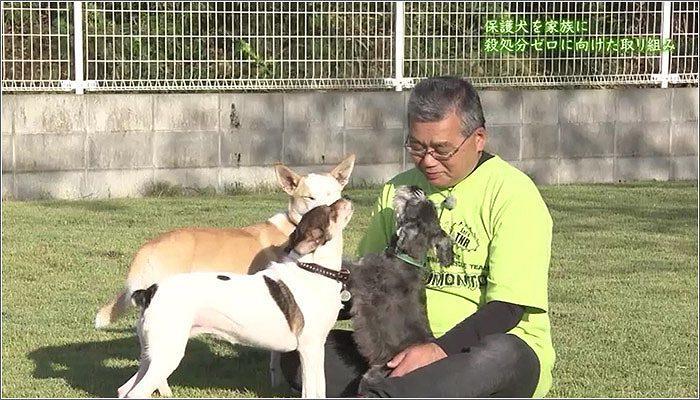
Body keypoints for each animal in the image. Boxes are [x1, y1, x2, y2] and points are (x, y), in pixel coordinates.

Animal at [118, 198, 356, 398]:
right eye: (330, 211)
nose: (346, 198)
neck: (314, 270)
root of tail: (150, 291)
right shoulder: (309, 348)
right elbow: (313, 391)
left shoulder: (315, 347)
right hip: (167, 354)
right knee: (134, 393)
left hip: (151, 356)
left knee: (124, 389)